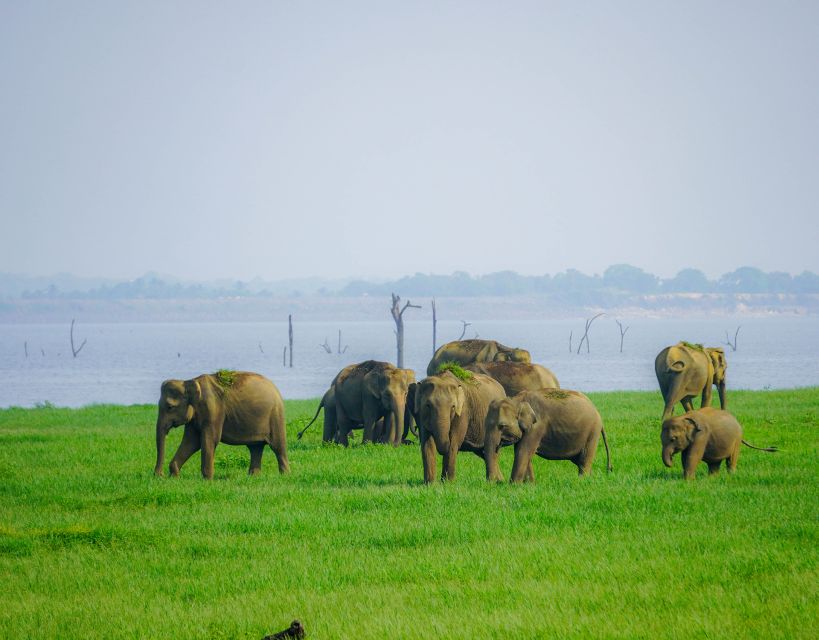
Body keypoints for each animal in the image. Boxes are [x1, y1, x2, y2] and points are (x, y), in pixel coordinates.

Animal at [155, 370, 290, 480]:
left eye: (170, 407)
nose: (160, 475)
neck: (189, 381)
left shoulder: (213, 409)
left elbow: (210, 439)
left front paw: (207, 480)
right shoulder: (195, 415)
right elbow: (191, 442)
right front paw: (174, 476)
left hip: (275, 415)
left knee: (278, 446)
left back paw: (284, 476)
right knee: (255, 448)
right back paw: (253, 477)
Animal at [484, 388, 612, 482]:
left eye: (502, 426)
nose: (497, 482)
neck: (516, 400)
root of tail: (597, 412)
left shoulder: (536, 427)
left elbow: (523, 451)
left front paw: (514, 485)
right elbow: (523, 452)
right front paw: (530, 485)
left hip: (592, 433)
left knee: (584, 460)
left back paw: (582, 481)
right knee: (579, 460)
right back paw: (591, 479)